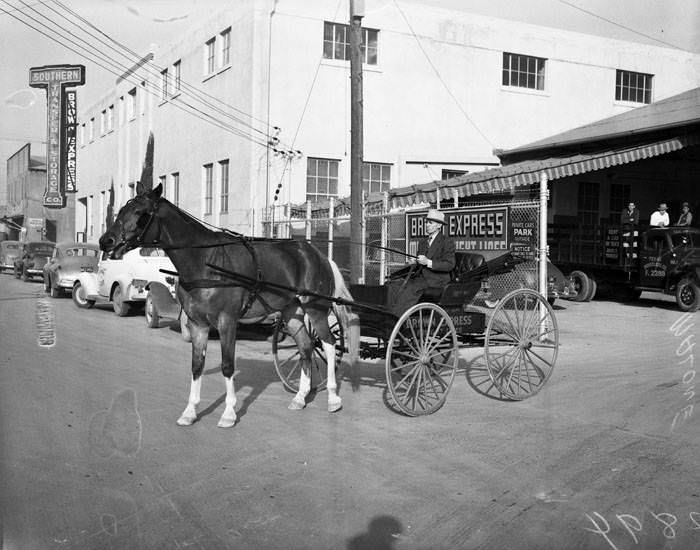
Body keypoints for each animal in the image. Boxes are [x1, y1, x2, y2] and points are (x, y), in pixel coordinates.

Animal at [98, 183, 358, 430]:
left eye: (140, 213)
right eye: (122, 210)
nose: (105, 241)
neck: (206, 262)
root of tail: (318, 255)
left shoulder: (227, 322)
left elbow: (227, 365)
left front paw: (229, 413)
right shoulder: (198, 324)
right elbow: (197, 365)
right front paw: (190, 412)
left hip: (315, 309)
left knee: (329, 343)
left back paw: (333, 398)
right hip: (291, 312)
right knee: (306, 347)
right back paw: (301, 397)